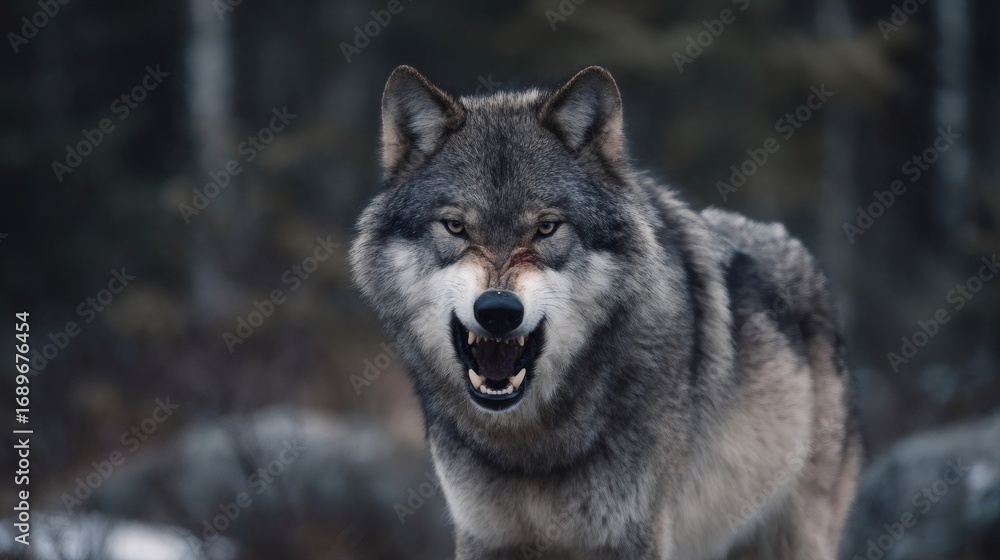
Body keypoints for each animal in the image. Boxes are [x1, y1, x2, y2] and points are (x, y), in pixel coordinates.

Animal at [349, 65, 861, 559]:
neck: (528, 444)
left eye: (547, 227)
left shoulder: (632, 535)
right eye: (455, 226)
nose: (497, 311)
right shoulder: (484, 537)